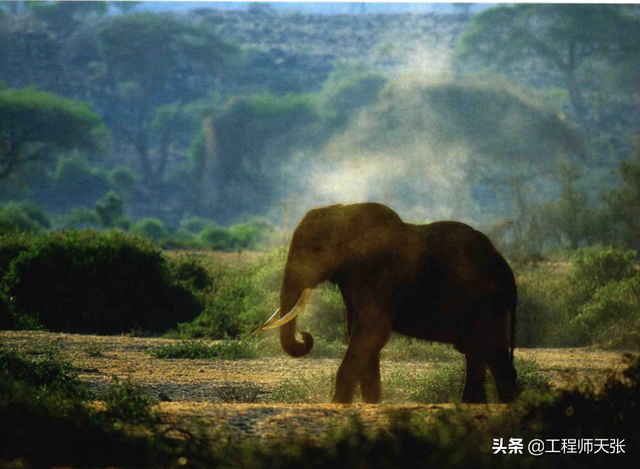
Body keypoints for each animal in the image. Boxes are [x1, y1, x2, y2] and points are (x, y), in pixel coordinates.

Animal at [253, 202, 518, 404]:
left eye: (316, 249)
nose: (305, 337)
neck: (347, 212)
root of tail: (506, 268)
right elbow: (361, 337)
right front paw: (370, 403)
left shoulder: (380, 275)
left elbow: (370, 333)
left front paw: (338, 405)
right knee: (486, 353)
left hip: (487, 303)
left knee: (485, 349)